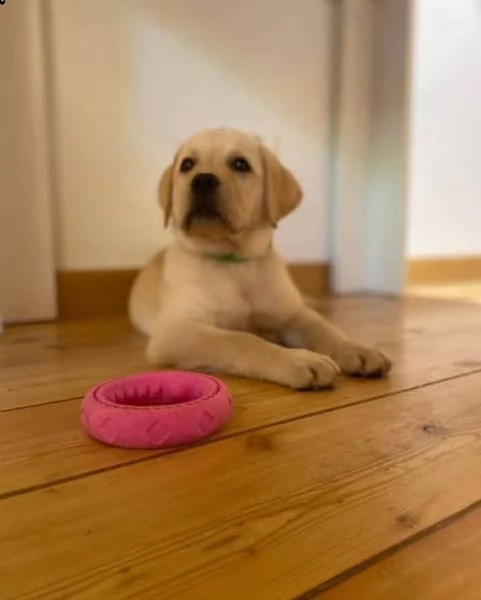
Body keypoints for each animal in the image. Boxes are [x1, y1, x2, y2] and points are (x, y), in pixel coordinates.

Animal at [128, 128, 390, 390]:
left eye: (240, 164)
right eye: (187, 165)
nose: (202, 180)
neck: (234, 261)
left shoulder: (293, 315)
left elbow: (324, 330)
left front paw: (357, 349)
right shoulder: (176, 331)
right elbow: (241, 340)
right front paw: (298, 359)